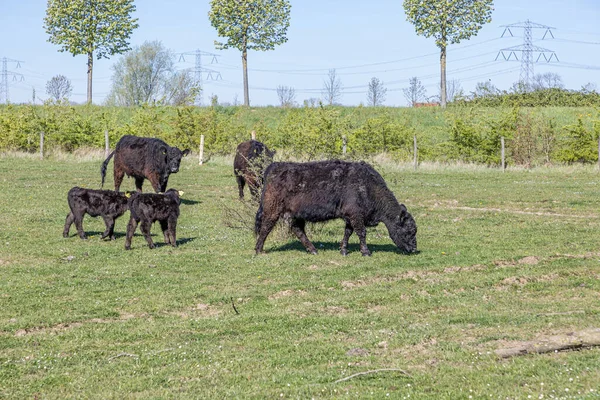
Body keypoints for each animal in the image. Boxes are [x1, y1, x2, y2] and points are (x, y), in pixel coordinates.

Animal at [254, 160, 418, 256]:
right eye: (410, 230)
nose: (414, 249)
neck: (367, 186)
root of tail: (275, 166)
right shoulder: (356, 215)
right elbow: (361, 232)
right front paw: (366, 252)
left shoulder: (350, 216)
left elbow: (348, 232)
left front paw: (343, 250)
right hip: (272, 210)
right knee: (266, 227)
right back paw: (258, 250)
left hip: (295, 215)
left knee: (298, 230)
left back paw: (313, 250)